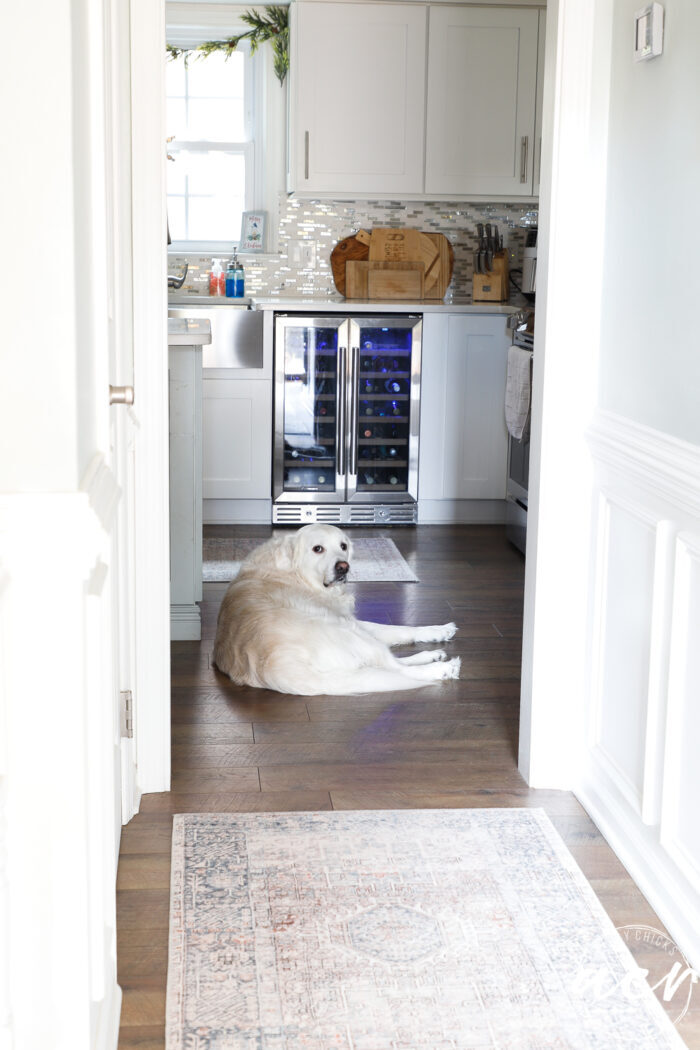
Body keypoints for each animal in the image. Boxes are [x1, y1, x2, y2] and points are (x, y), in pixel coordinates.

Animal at [211, 520, 459, 692]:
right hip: (350, 633)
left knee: (390, 665)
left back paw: (434, 655)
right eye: (317, 549)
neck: (295, 573)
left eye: (343, 546)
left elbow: (399, 629)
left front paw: (438, 630)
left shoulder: (348, 618)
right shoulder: (346, 620)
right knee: (396, 668)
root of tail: (275, 666)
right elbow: (393, 634)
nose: (343, 567)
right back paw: (442, 667)